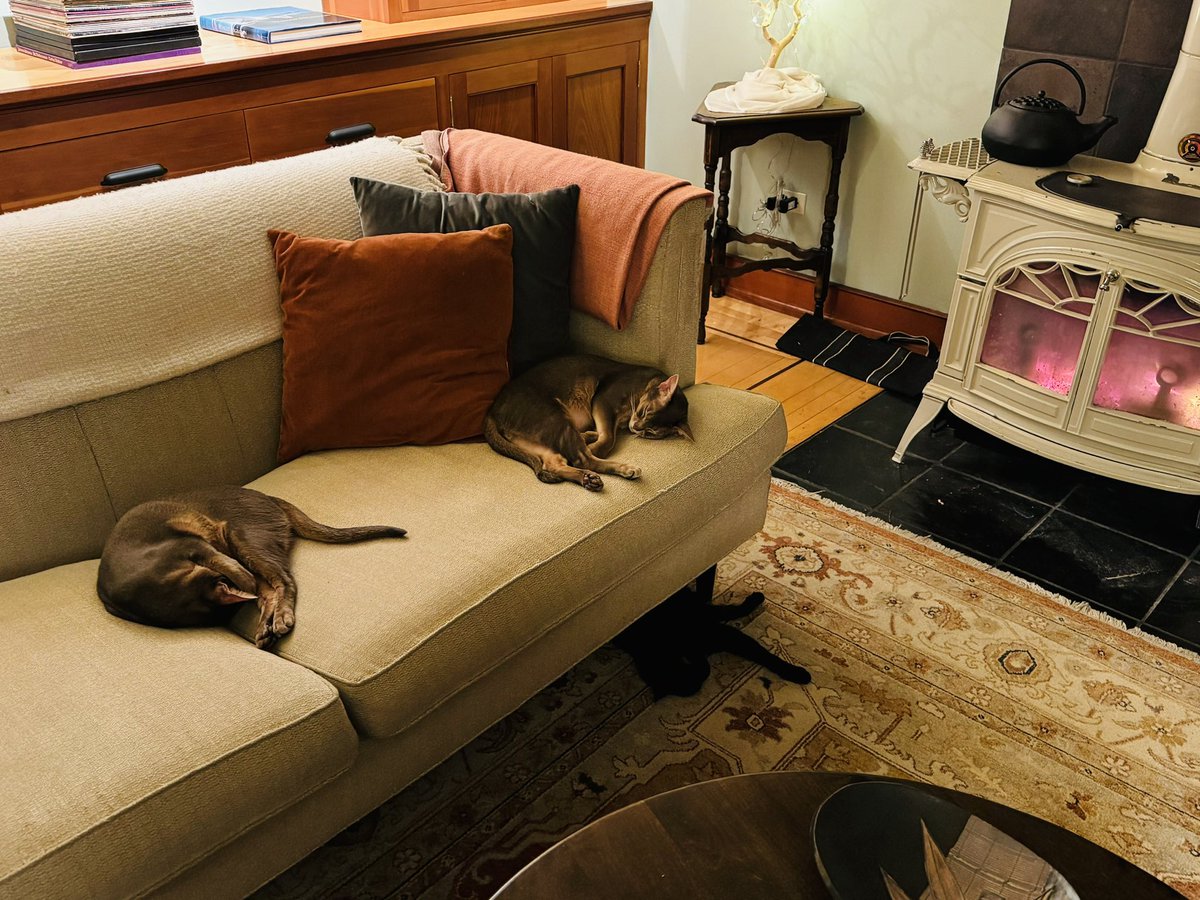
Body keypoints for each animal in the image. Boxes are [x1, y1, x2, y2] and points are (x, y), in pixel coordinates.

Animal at [484, 355, 696, 494]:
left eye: (650, 432)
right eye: (644, 412)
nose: (635, 428)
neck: (644, 384)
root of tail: (493, 410)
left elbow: (607, 433)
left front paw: (590, 436)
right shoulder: (603, 401)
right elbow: (608, 438)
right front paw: (594, 445)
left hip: (536, 436)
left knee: (554, 464)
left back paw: (588, 478)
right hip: (554, 417)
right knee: (582, 459)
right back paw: (621, 467)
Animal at [619, 585, 806, 696]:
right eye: (691, 682)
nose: (697, 685)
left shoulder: (721, 632)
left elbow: (765, 654)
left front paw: (796, 673)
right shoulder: (720, 636)